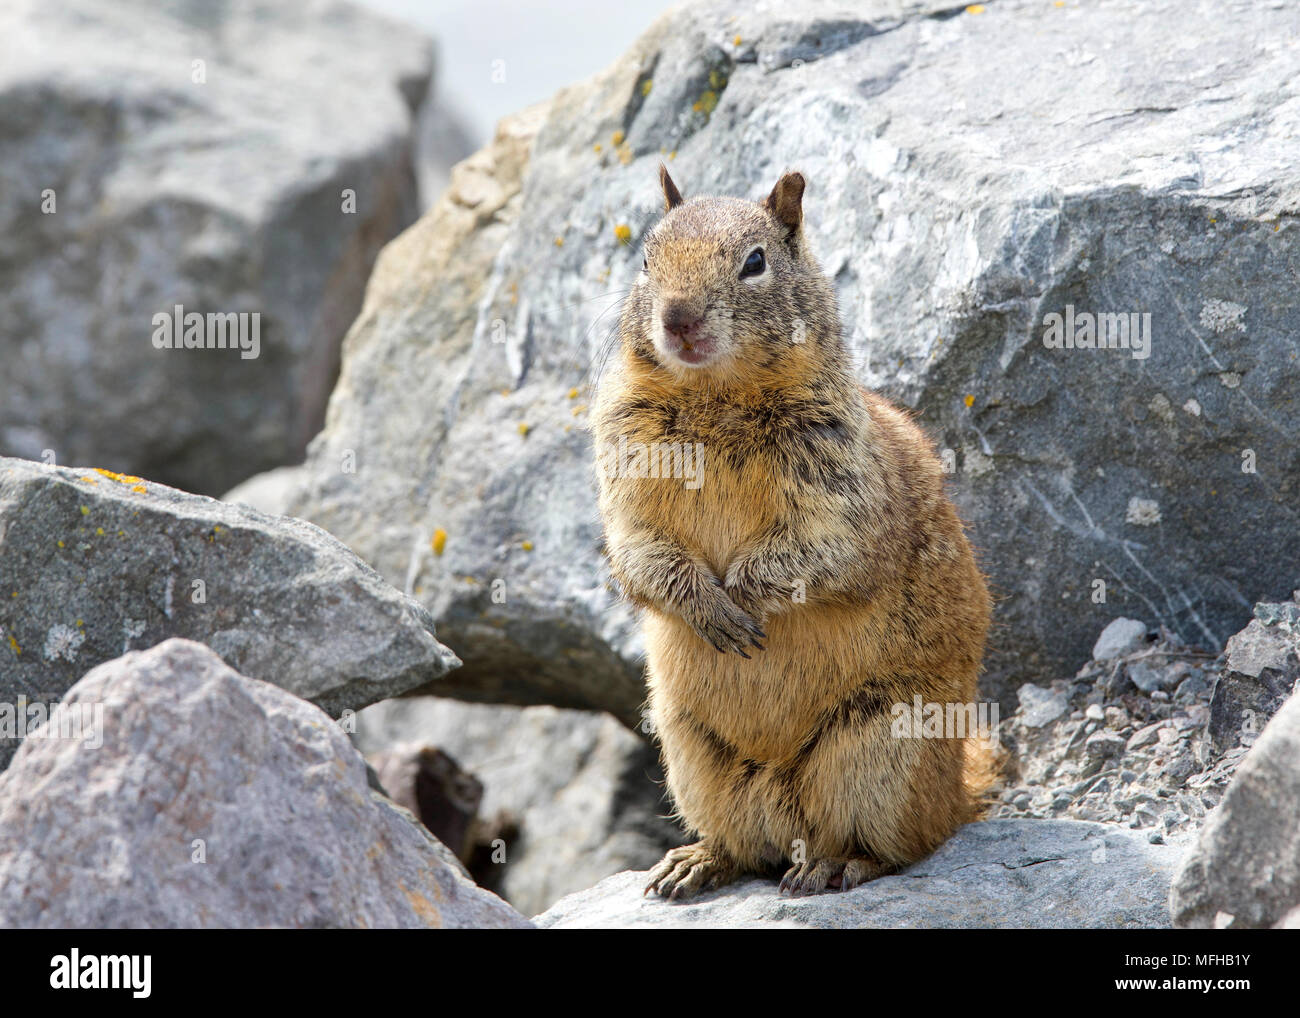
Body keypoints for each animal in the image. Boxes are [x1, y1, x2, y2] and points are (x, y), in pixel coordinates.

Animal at [592, 167, 993, 899]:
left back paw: (840, 863)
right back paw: (697, 861)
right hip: (691, 755)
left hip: (878, 751)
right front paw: (707, 607)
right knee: (749, 849)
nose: (678, 317)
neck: (714, 395)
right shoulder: (624, 477)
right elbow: (642, 557)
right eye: (645, 261)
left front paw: (742, 599)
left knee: (903, 844)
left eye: (755, 263)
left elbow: (812, 554)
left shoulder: (838, 494)